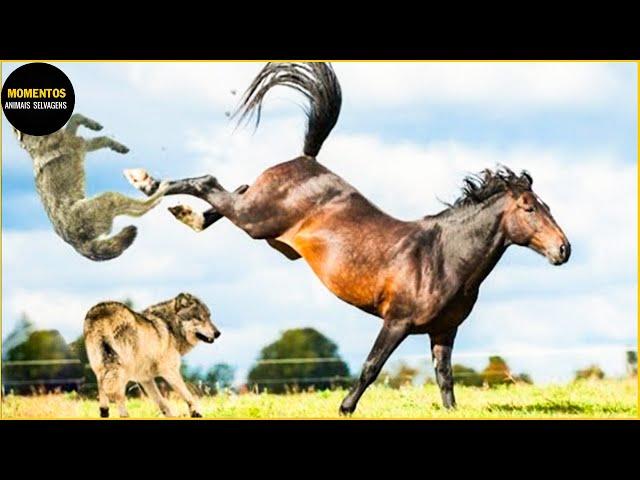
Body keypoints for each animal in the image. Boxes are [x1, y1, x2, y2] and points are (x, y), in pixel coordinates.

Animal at [126, 62, 568, 416]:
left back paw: (186, 215)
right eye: (529, 208)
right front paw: (344, 407)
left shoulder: (444, 332)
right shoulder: (397, 321)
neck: (442, 257)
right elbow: (372, 366)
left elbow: (445, 378)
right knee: (208, 182)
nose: (563, 250)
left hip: (259, 222)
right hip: (256, 219)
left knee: (232, 188)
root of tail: (306, 160)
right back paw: (147, 183)